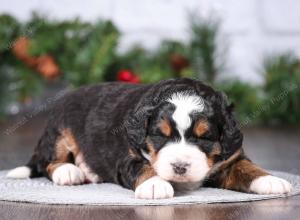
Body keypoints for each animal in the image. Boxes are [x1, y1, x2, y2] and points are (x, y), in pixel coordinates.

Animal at [7, 78, 292, 199]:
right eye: (159, 135)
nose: (180, 167)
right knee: (46, 161)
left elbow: (246, 168)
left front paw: (270, 180)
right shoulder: (127, 156)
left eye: (205, 137)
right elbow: (142, 167)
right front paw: (155, 185)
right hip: (61, 130)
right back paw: (69, 171)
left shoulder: (230, 157)